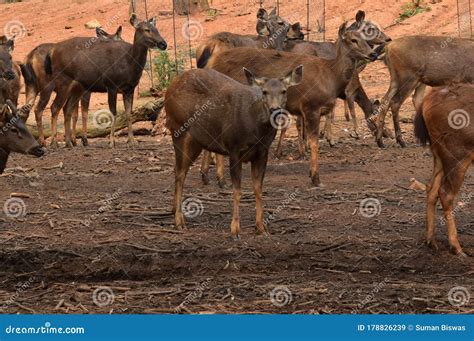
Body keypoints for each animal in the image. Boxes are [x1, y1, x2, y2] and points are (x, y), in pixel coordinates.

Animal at [46, 15, 168, 147]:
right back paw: (54, 143)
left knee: (66, 109)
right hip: (62, 81)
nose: (163, 44)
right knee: (54, 107)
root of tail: (52, 52)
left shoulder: (129, 89)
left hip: (76, 88)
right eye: (146, 29)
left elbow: (129, 114)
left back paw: (69, 142)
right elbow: (113, 113)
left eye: (156, 29)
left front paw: (132, 140)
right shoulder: (111, 85)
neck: (128, 64)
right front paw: (111, 142)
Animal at [165, 65, 302, 236]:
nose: (274, 109)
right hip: (178, 130)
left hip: (197, 141)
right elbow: (237, 190)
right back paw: (179, 222)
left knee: (178, 169)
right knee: (180, 174)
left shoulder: (262, 152)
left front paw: (261, 227)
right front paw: (235, 228)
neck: (257, 129)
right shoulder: (234, 148)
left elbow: (258, 189)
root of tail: (169, 88)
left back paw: (173, 211)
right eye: (264, 92)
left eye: (284, 91)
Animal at [207, 23, 378, 186]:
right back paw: (220, 179)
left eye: (366, 39)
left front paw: (310, 172)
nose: (373, 54)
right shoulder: (311, 107)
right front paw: (315, 178)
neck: (330, 77)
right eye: (353, 40)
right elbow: (314, 142)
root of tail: (213, 63)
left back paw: (209, 176)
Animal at [412, 84, 472, 255]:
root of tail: (426, 102)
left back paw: (431, 240)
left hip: (438, 154)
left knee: (431, 188)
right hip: (457, 156)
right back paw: (456, 247)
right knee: (445, 193)